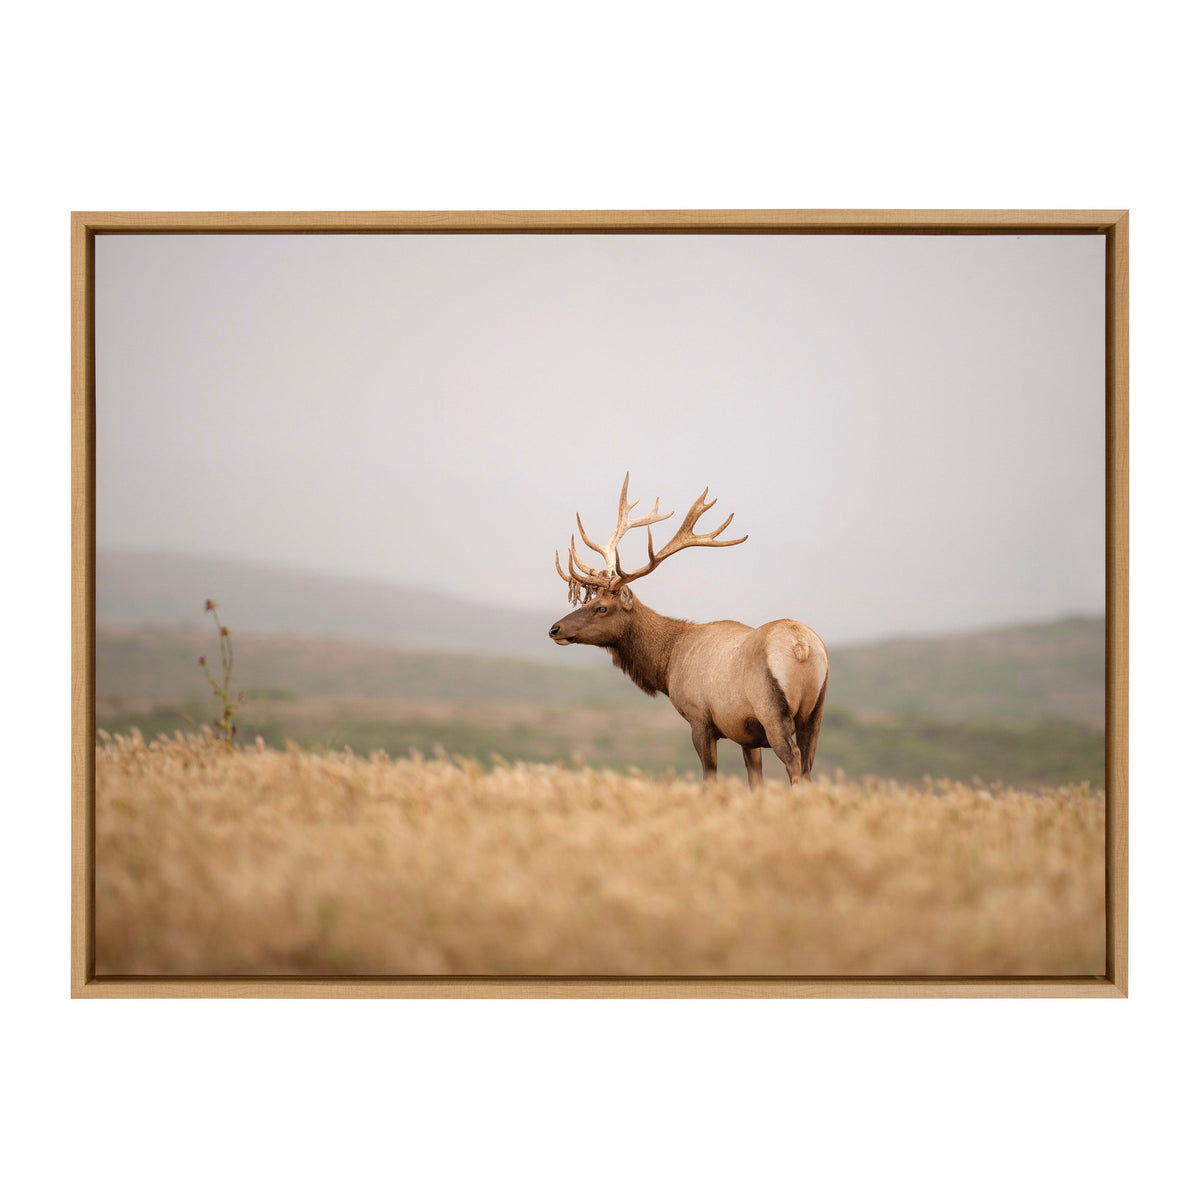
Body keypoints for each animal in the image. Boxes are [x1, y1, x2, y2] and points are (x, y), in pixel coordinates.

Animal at [549, 474, 829, 787]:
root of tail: (802, 646)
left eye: (601, 608)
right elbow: (754, 781)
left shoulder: (700, 718)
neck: (668, 663)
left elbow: (709, 777)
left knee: (794, 761)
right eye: (588, 600)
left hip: (772, 709)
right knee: (807, 764)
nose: (555, 628)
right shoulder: (746, 733)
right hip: (815, 713)